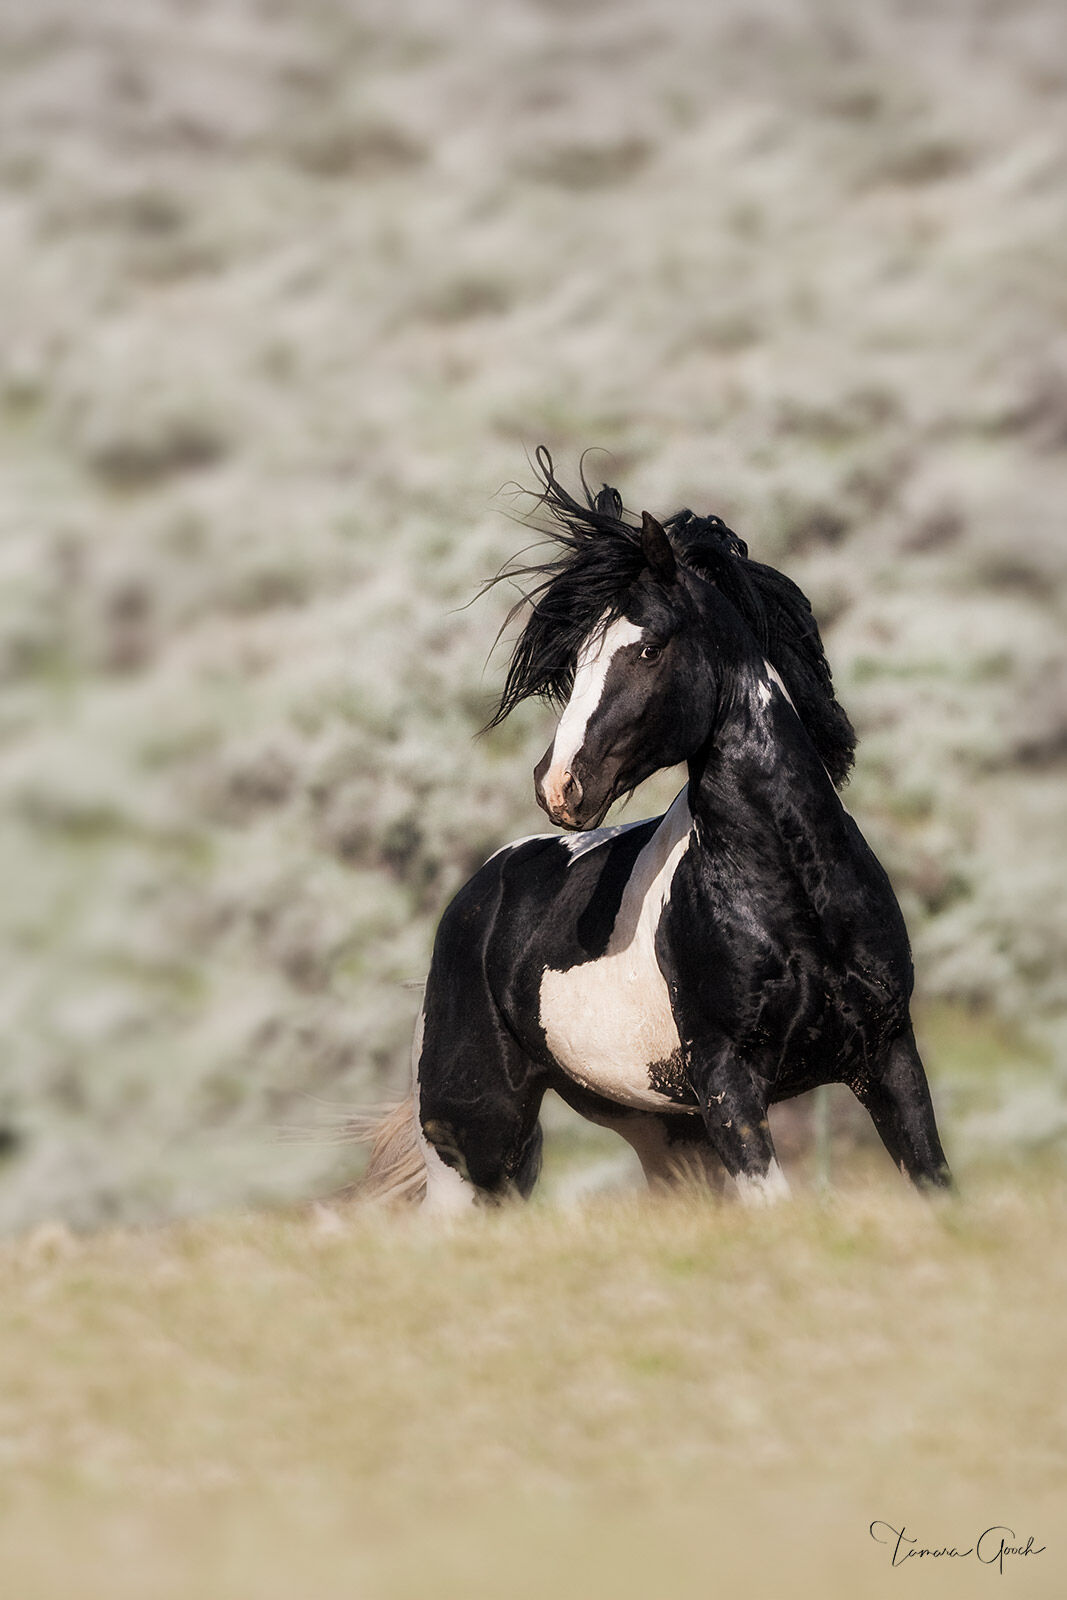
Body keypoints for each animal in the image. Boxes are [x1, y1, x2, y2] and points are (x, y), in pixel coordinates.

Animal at [360, 450, 952, 1210]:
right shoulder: (728, 1081)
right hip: (471, 1140)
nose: (558, 785)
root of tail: (479, 891)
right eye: (573, 661)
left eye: (646, 651)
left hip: (661, 1134)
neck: (796, 897)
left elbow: (936, 1185)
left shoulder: (888, 1055)